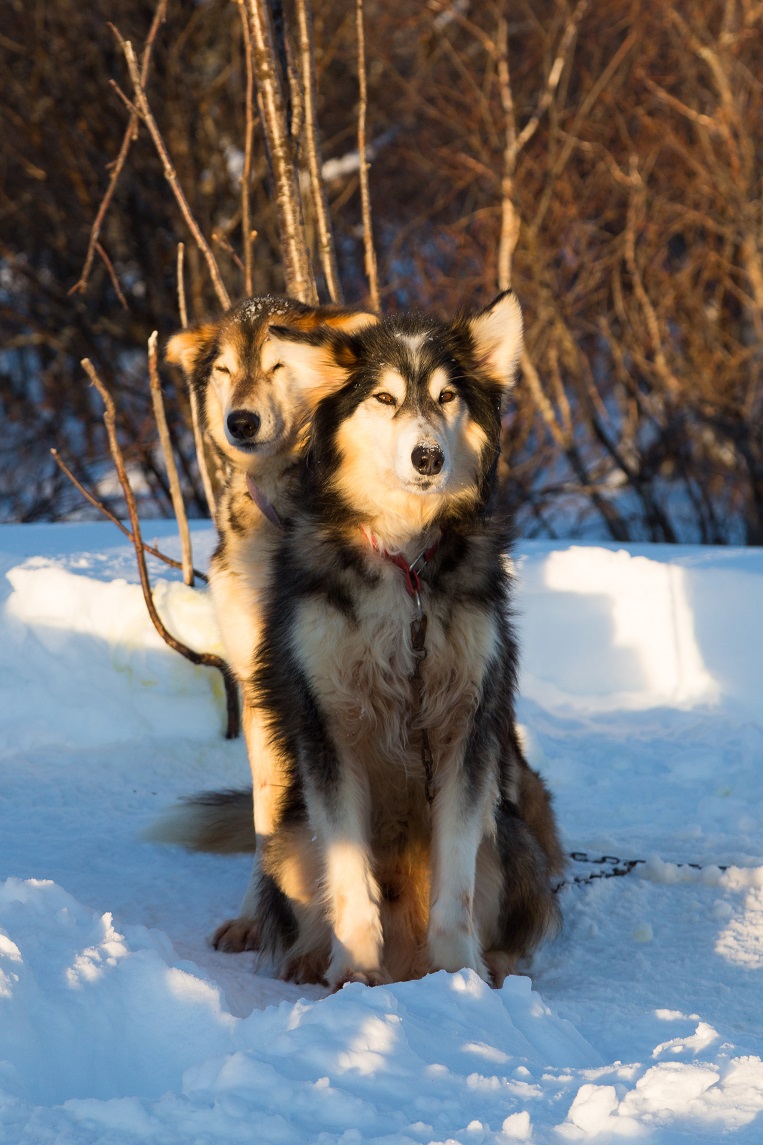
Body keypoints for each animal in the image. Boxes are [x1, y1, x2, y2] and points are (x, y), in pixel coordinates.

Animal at [181, 290, 559, 989]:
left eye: (446, 396)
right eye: (384, 398)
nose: (427, 457)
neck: (404, 562)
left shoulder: (465, 727)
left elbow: (457, 888)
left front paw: (460, 981)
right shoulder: (327, 729)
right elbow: (350, 879)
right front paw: (353, 976)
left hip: (509, 835)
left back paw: (490, 968)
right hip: (292, 835)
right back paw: (311, 960)